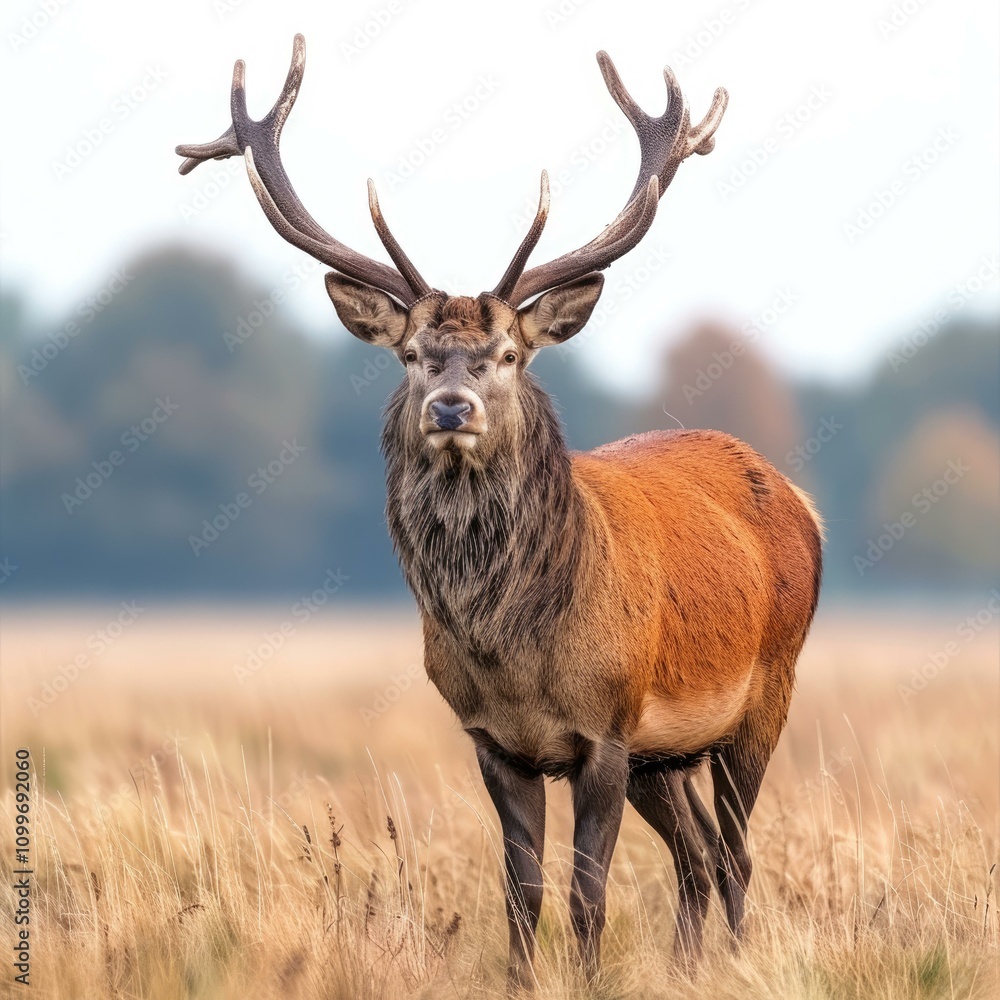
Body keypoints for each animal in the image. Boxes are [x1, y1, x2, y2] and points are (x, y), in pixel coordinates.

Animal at [177, 35, 823, 991]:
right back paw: (689, 969)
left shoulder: (605, 727)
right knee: (699, 856)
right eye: (413, 353)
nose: (453, 407)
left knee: (737, 852)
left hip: (762, 692)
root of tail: (799, 498)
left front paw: (589, 981)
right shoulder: (494, 740)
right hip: (665, 752)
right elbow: (520, 893)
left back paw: (735, 966)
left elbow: (588, 896)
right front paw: (522, 979)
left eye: (509, 353)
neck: (513, 652)